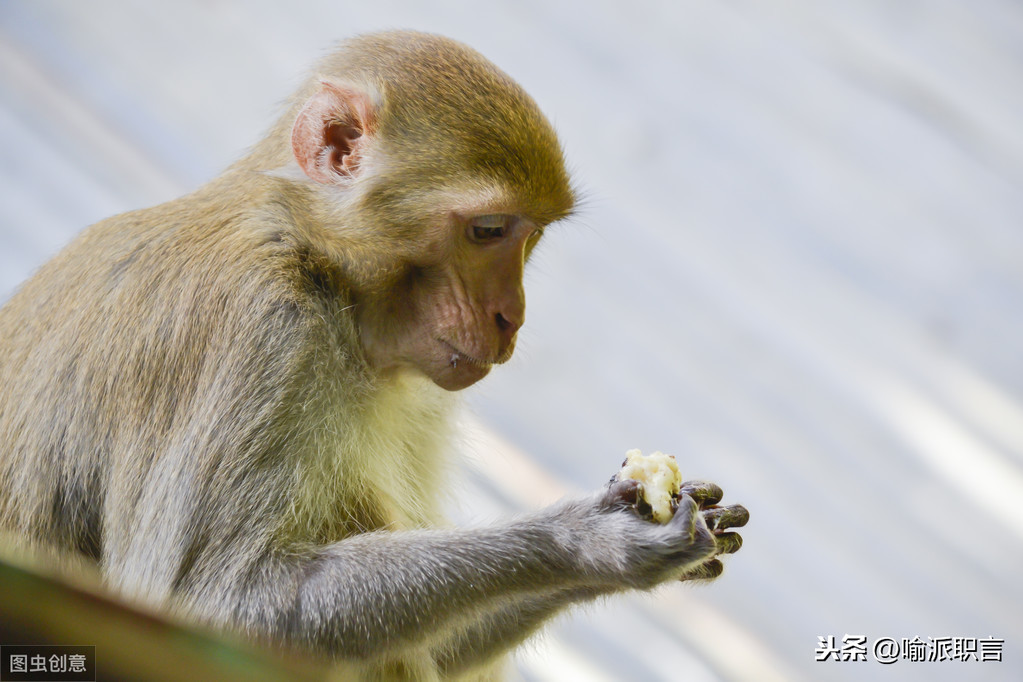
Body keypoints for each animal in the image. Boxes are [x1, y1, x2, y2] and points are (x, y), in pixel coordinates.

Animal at [0, 29, 752, 678]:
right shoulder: (259, 330)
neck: (326, 274)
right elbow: (210, 604)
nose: (510, 317)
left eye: (529, 235)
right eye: (488, 230)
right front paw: (589, 542)